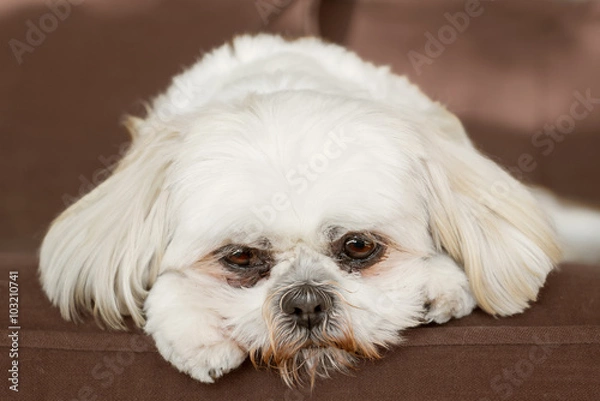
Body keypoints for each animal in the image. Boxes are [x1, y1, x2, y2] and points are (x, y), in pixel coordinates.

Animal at [38, 35, 600, 388]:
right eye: (240, 257)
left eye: (359, 245)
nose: (306, 301)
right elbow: (166, 289)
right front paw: (200, 337)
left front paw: (440, 286)